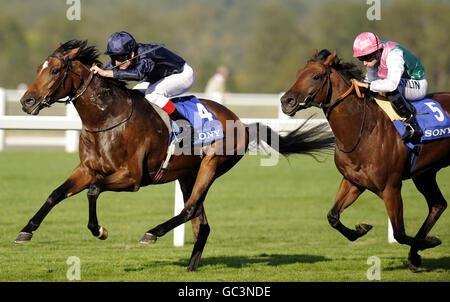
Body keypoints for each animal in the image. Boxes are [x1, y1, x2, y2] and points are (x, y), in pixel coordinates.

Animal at [15, 40, 334, 272]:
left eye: (54, 71)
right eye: (39, 67)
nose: (26, 102)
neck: (106, 118)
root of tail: (241, 123)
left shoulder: (130, 178)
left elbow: (93, 191)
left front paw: (99, 230)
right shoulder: (87, 169)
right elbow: (55, 194)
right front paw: (25, 231)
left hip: (211, 165)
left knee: (190, 210)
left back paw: (152, 233)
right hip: (187, 174)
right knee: (201, 223)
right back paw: (191, 267)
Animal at [280, 49, 448, 272]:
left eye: (316, 76)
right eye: (299, 73)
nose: (286, 101)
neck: (365, 130)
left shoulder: (390, 187)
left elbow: (399, 233)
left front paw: (431, 242)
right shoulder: (353, 181)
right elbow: (333, 216)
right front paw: (360, 229)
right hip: (424, 173)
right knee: (438, 205)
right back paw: (413, 256)